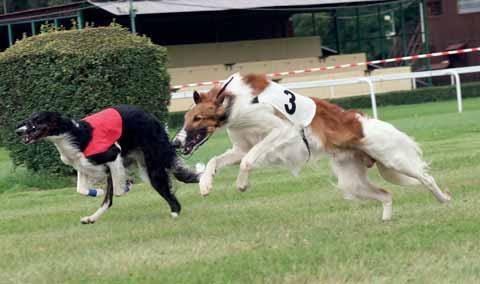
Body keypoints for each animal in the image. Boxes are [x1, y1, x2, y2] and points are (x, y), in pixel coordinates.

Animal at [15, 105, 199, 224]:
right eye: (28, 120)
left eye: (37, 120)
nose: (18, 131)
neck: (75, 135)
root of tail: (151, 117)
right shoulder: (84, 165)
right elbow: (82, 190)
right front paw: (97, 192)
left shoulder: (113, 155)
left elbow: (116, 191)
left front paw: (125, 185)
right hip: (145, 166)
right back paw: (91, 218)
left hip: (153, 165)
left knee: (167, 190)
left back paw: (175, 212)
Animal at [174, 72, 452, 220]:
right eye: (187, 118)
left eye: (197, 118)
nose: (176, 142)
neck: (233, 101)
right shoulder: (242, 146)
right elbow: (217, 161)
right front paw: (205, 185)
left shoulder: (280, 130)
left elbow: (247, 160)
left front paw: (242, 183)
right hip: (351, 182)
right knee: (387, 194)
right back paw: (386, 220)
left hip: (394, 159)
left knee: (426, 178)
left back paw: (444, 199)